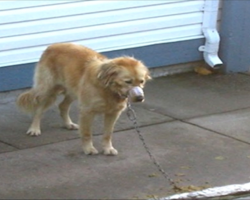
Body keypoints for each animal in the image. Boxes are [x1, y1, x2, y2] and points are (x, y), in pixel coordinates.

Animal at [17, 43, 150, 155]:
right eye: (128, 82)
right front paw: (88, 149)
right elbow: (87, 133)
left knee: (63, 106)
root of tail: (52, 46)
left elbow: (108, 133)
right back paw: (34, 128)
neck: (108, 89)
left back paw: (68, 124)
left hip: (72, 90)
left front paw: (107, 148)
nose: (140, 98)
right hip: (47, 89)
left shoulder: (113, 113)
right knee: (39, 109)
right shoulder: (87, 111)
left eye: (141, 81)